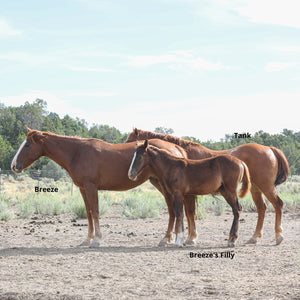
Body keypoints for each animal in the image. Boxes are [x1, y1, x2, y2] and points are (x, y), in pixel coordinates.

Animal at [11, 127, 188, 247]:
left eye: (27, 145)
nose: (14, 166)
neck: (77, 152)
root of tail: (177, 148)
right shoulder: (83, 188)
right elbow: (88, 213)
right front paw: (87, 239)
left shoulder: (91, 187)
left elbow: (95, 211)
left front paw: (96, 240)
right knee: (174, 210)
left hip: (163, 186)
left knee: (173, 210)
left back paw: (169, 239)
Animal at [125, 127, 290, 245]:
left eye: (130, 142)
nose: (130, 174)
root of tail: (270, 148)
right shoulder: (184, 194)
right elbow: (187, 214)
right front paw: (188, 238)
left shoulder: (181, 194)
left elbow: (183, 213)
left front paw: (182, 239)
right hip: (253, 188)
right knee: (261, 208)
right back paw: (252, 237)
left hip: (260, 187)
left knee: (275, 204)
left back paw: (277, 236)